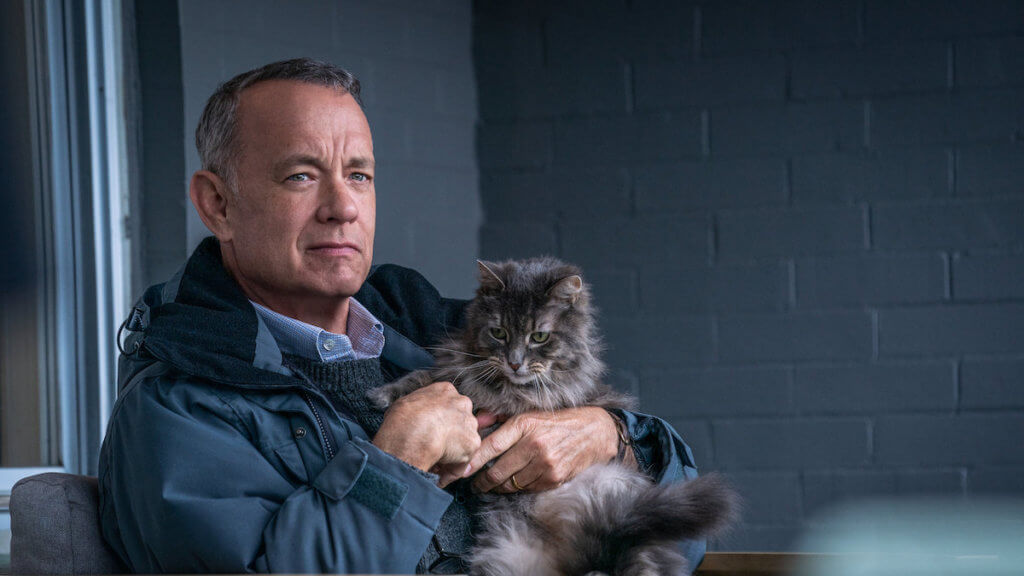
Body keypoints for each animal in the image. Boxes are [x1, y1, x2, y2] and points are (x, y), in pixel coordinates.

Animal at [368, 259, 737, 573]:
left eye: (539, 337)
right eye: (499, 333)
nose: (514, 362)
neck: (507, 388)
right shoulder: (458, 375)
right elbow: (427, 380)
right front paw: (384, 396)